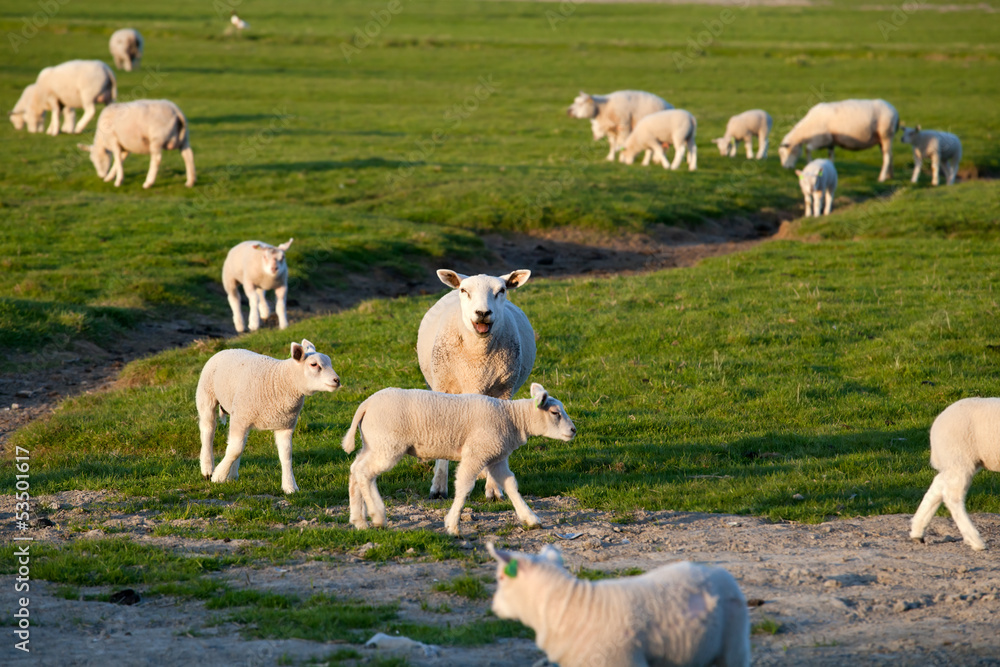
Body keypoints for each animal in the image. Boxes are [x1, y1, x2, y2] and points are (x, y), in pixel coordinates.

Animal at [197, 339, 340, 494]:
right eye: (314, 364)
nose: (337, 380)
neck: (282, 381)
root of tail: (228, 349)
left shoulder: (285, 425)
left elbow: (286, 455)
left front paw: (290, 486)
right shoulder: (241, 418)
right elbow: (235, 449)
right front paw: (218, 476)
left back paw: (232, 475)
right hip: (207, 396)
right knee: (208, 431)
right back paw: (207, 468)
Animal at [341, 383, 576, 536]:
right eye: (555, 413)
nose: (574, 430)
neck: (512, 418)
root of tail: (366, 404)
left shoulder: (496, 457)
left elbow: (510, 485)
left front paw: (530, 518)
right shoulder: (477, 452)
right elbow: (464, 486)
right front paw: (452, 525)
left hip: (373, 443)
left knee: (355, 469)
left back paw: (359, 521)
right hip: (387, 445)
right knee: (364, 473)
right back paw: (377, 516)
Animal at [416, 269, 536, 500]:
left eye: (502, 290)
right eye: (465, 291)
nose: (482, 312)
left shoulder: (502, 392)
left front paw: (494, 490)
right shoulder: (444, 388)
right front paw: (438, 487)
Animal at [910, 397, 1000, 551]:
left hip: (954, 461)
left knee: (938, 486)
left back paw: (917, 531)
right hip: (960, 458)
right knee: (952, 497)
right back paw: (976, 541)